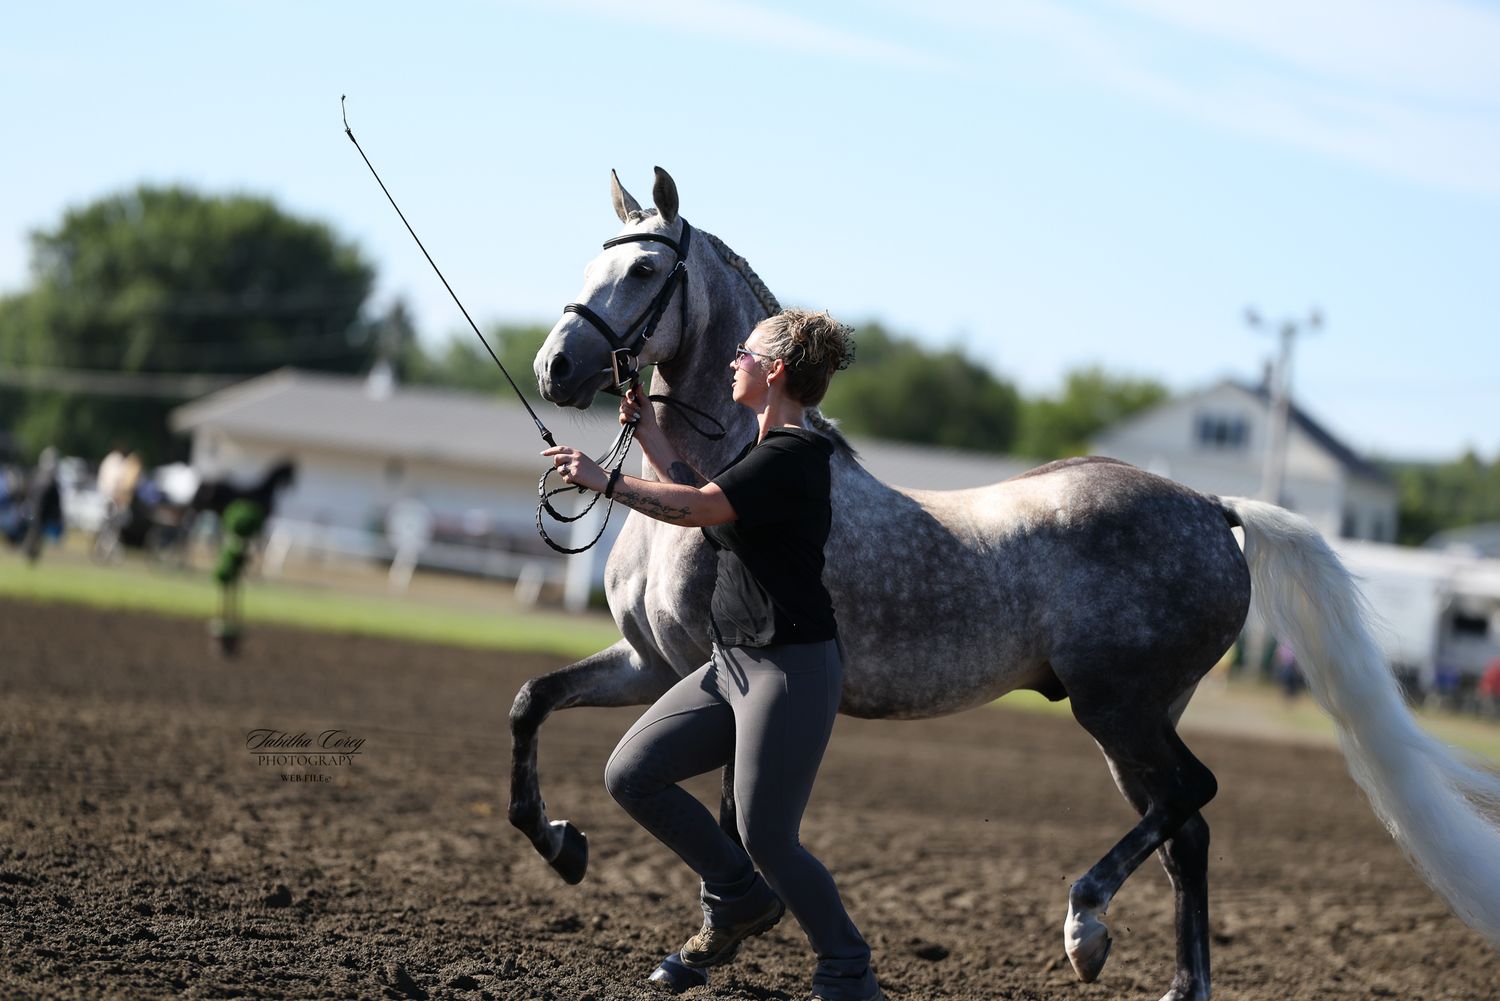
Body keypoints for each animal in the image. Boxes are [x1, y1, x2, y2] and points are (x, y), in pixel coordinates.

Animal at [510, 168, 1500, 1000]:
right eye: (594, 258)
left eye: (644, 267)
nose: (554, 367)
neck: (709, 477)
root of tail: (1212, 505)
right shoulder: (648, 663)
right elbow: (533, 700)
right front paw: (560, 846)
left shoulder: (700, 672)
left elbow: (728, 815)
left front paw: (718, 934)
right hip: (1139, 717)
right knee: (1186, 828)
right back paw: (1180, 983)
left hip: (1117, 706)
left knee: (1195, 794)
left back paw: (1085, 925)